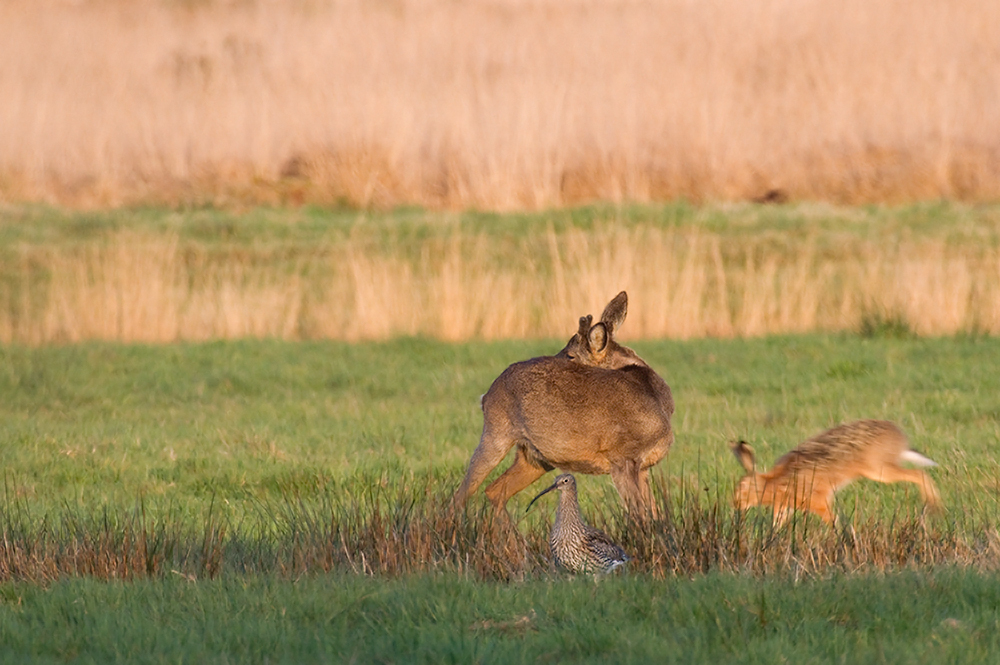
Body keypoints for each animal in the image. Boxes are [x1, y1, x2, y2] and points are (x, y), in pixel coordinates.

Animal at [452, 292, 672, 520]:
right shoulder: (622, 458)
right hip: (496, 433)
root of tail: (487, 394)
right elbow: (640, 515)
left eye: (570, 355)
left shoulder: (643, 466)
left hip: (536, 458)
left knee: (494, 491)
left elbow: (653, 513)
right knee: (461, 495)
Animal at [732, 420, 940, 524]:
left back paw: (933, 505)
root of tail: (899, 439)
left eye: (742, 489)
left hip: (879, 470)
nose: (735, 505)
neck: (773, 483)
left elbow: (831, 520)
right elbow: (777, 523)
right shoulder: (785, 506)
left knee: (919, 474)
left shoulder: (819, 502)